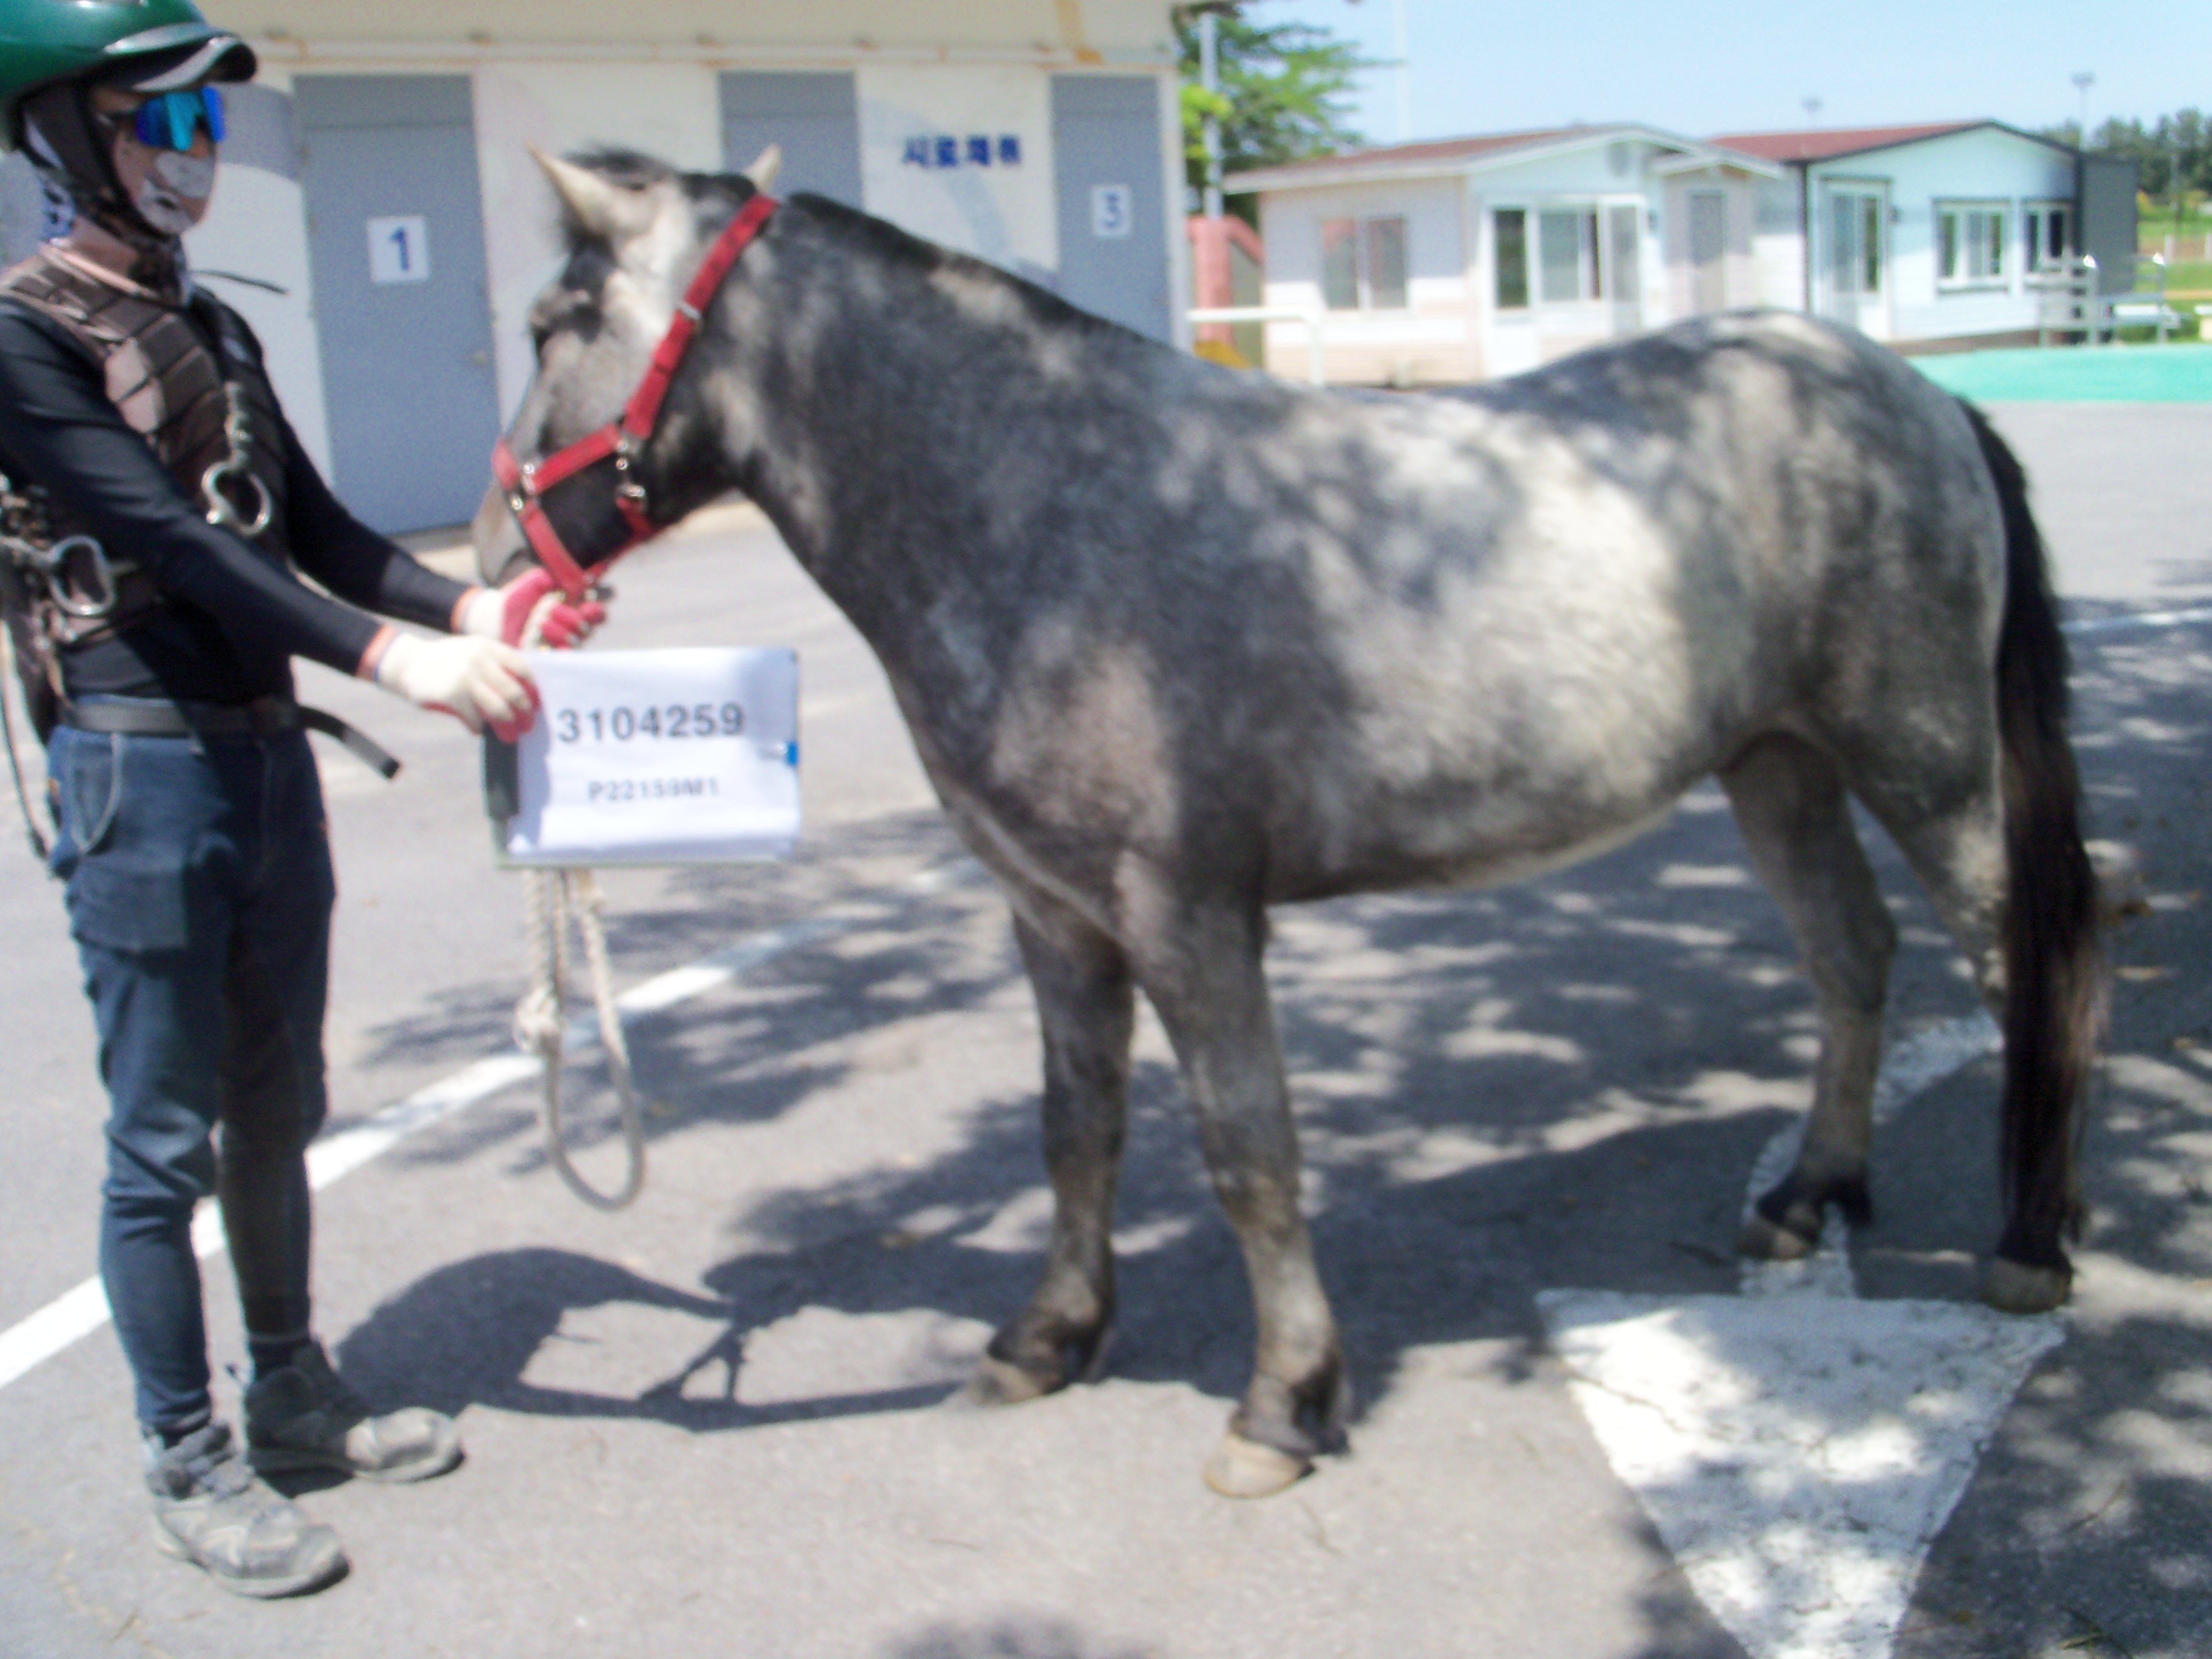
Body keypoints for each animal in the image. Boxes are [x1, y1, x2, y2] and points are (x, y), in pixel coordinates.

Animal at [480, 152, 2106, 1504]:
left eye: (557, 324)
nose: (498, 557)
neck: (1042, 503)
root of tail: (1915, 396)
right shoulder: (1053, 916)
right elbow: (1076, 1130)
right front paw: (1047, 1340)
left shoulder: (1189, 918)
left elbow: (1246, 1153)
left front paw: (1285, 1405)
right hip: (1776, 767)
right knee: (1851, 957)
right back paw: (1809, 1197)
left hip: (1925, 763)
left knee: (2027, 969)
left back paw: (2032, 1246)